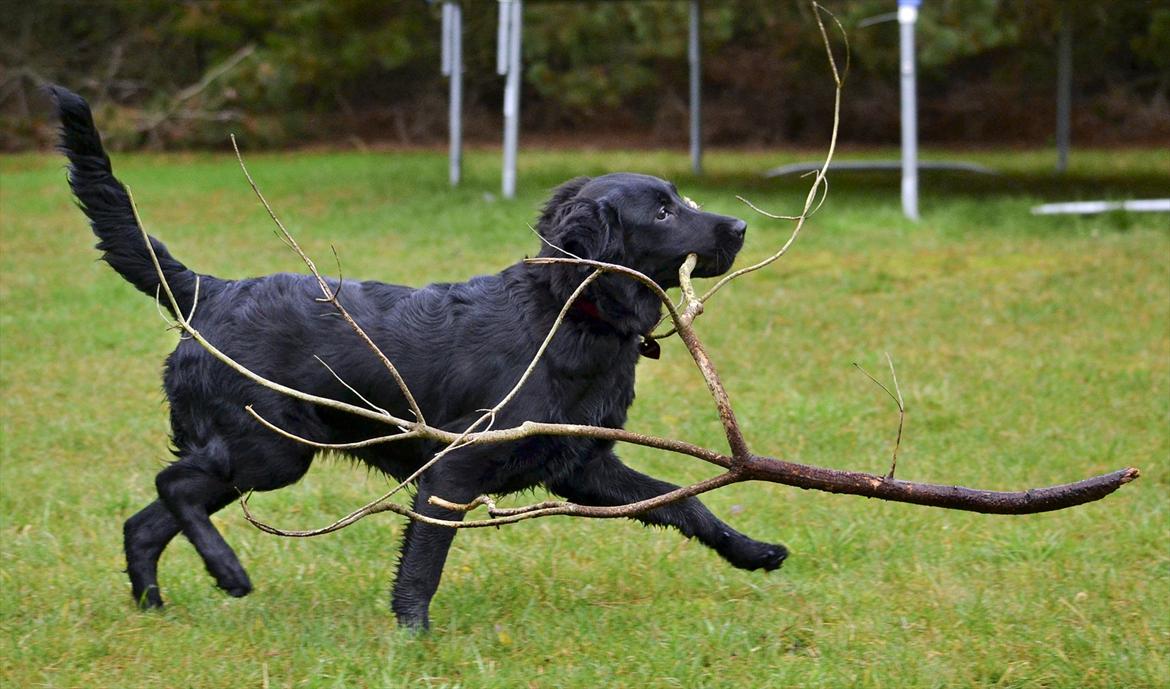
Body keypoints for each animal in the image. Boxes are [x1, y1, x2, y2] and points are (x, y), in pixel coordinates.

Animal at [52, 85, 786, 627]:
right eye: (661, 212)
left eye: (682, 199)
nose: (742, 226)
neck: (564, 315)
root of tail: (209, 289)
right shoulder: (452, 472)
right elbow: (422, 566)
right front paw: (412, 637)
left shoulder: (584, 465)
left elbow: (687, 506)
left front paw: (752, 551)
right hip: (269, 451)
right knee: (171, 488)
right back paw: (228, 572)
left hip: (253, 456)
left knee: (144, 523)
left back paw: (154, 606)